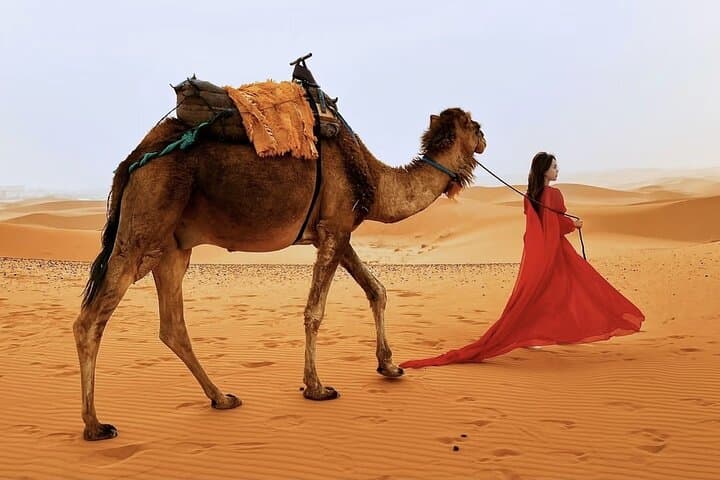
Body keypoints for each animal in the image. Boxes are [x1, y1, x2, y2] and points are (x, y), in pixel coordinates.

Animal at [74, 107, 486, 440]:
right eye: (476, 126)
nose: (484, 140)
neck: (372, 176)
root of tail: (134, 159)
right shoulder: (335, 228)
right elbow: (315, 311)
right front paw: (316, 387)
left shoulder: (335, 232)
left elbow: (377, 290)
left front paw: (389, 366)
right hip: (144, 223)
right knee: (90, 320)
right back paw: (95, 425)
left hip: (173, 247)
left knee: (172, 325)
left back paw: (222, 398)